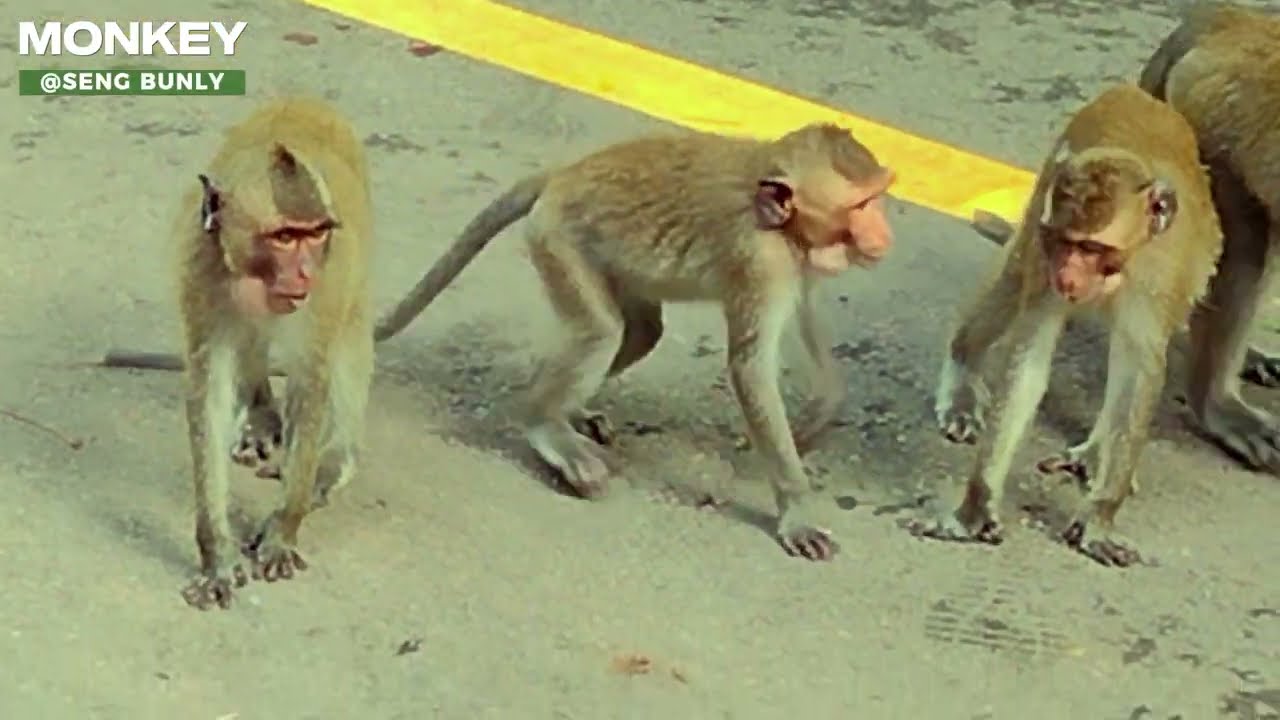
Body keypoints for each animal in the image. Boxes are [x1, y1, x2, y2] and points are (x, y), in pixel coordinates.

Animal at [166, 97, 374, 610]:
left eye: (314, 234)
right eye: (284, 236)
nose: (302, 273)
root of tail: (305, 101)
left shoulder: (327, 279)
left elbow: (311, 377)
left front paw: (283, 530)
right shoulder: (201, 272)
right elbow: (210, 388)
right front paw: (216, 553)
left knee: (351, 336)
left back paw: (334, 458)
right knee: (251, 340)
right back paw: (260, 415)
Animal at [373, 124, 893, 561]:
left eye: (878, 198)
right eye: (861, 205)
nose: (883, 232)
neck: (780, 220)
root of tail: (563, 174)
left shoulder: (797, 261)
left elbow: (807, 314)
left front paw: (821, 411)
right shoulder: (760, 260)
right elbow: (750, 367)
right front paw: (796, 509)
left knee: (642, 332)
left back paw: (569, 409)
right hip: (559, 241)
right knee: (602, 332)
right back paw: (543, 420)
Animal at [911, 84, 1224, 567]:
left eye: (1092, 247)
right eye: (1063, 241)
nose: (1068, 276)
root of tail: (1130, 92)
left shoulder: (1156, 281)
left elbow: (1139, 373)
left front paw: (1100, 515)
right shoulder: (1044, 253)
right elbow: (1028, 364)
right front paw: (977, 506)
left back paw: (1098, 451)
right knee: (1012, 279)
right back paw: (962, 366)